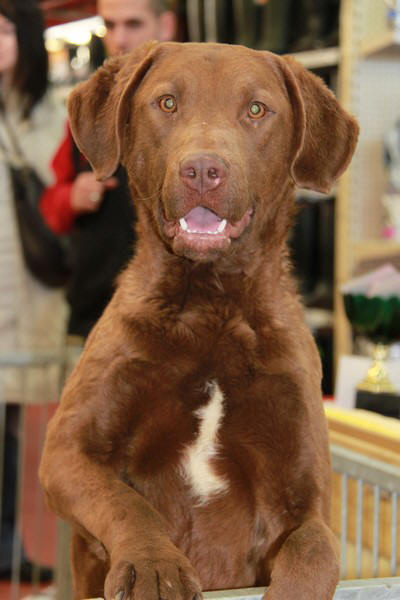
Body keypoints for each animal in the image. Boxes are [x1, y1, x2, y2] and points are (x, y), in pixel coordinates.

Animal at [39, 42, 360, 600]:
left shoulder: (307, 493)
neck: (214, 307)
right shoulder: (66, 451)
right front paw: (153, 567)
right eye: (167, 103)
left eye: (256, 109)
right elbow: (128, 503)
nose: (204, 170)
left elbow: (313, 548)